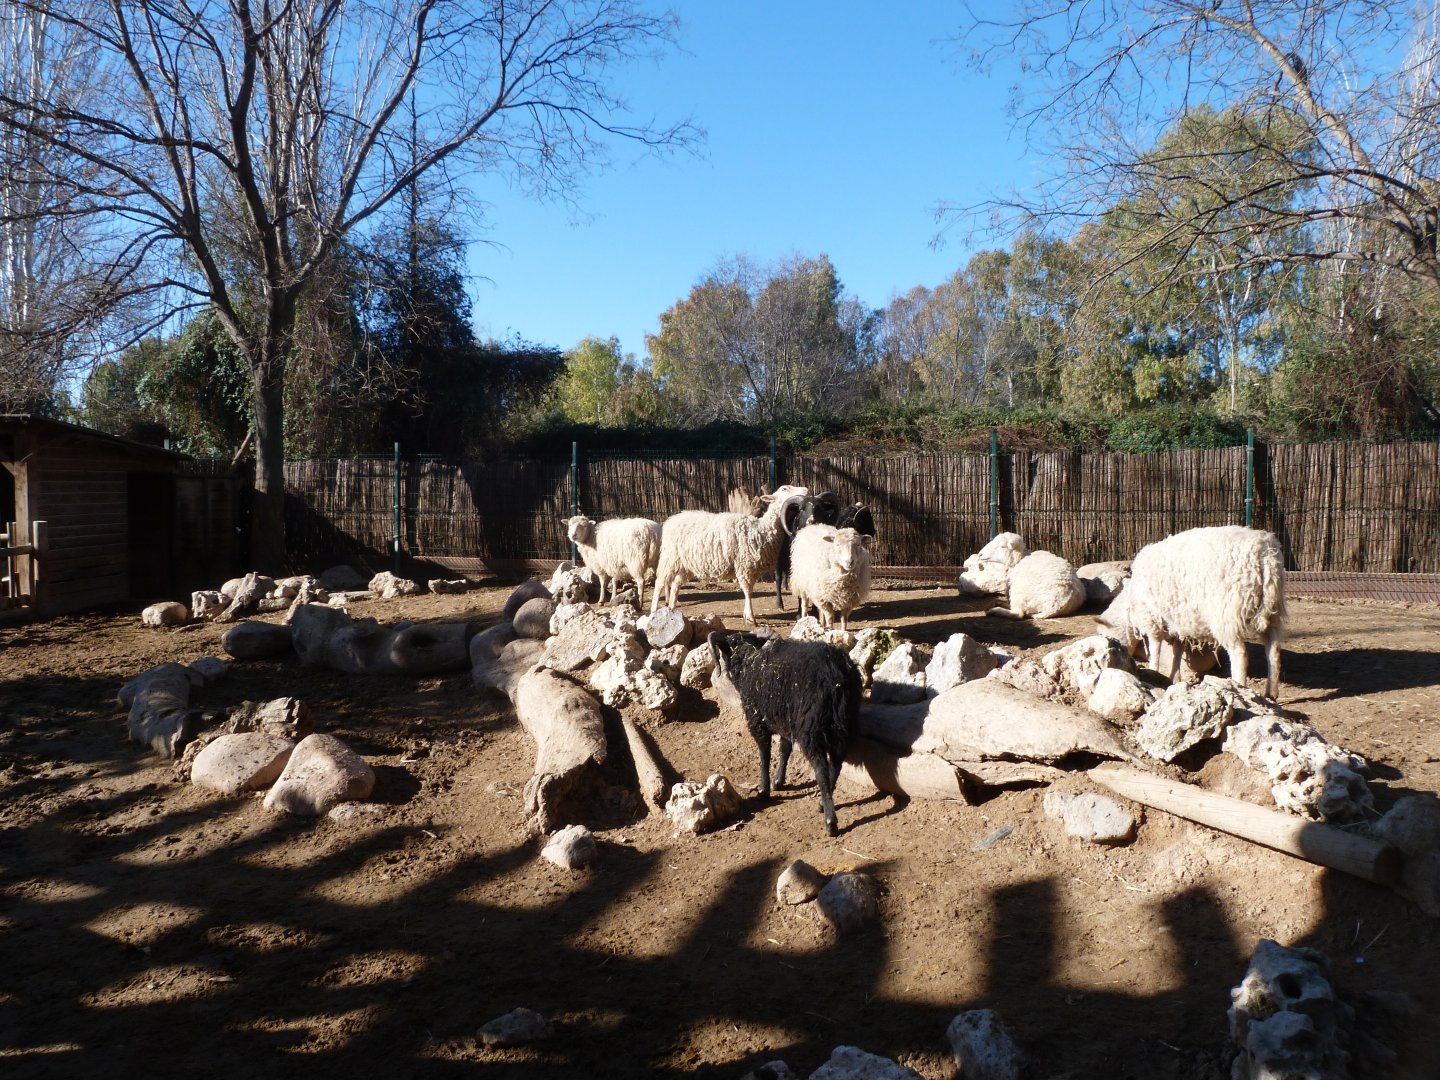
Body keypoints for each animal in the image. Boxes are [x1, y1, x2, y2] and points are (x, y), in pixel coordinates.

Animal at [651, 484, 810, 623]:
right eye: (784, 488)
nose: (806, 489)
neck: (762, 529)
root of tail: (671, 520)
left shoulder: (751, 568)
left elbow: (749, 590)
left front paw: (747, 614)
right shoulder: (744, 566)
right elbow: (747, 591)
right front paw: (750, 617)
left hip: (685, 564)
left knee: (675, 585)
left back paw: (672, 609)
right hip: (670, 558)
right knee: (659, 583)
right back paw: (653, 611)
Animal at [707, 630, 861, 836]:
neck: (749, 658)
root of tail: (837, 673)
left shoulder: (756, 719)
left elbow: (764, 753)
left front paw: (764, 789)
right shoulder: (785, 721)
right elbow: (784, 749)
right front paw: (778, 781)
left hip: (811, 730)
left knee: (821, 770)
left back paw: (830, 821)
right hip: (843, 726)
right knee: (836, 765)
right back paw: (823, 803)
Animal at [1094, 525, 1286, 698]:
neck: (1130, 606)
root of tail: (1264, 552)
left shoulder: (1152, 619)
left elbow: (1155, 650)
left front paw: (1153, 671)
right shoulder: (1177, 622)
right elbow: (1176, 653)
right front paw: (1173, 678)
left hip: (1227, 613)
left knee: (1240, 654)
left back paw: (1240, 686)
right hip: (1273, 611)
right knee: (1274, 651)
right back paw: (1271, 693)